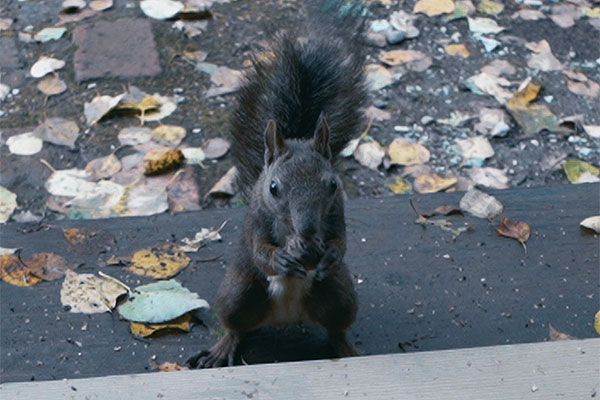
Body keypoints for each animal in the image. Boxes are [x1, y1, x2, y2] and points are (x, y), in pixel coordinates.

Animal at [188, 0, 368, 368]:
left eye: (332, 186)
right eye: (273, 188)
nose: (308, 230)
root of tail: (286, 318)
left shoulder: (338, 213)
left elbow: (341, 242)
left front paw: (328, 253)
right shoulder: (256, 221)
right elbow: (261, 251)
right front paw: (283, 256)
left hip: (340, 294)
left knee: (337, 327)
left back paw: (347, 348)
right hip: (237, 292)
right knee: (234, 325)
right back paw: (221, 349)